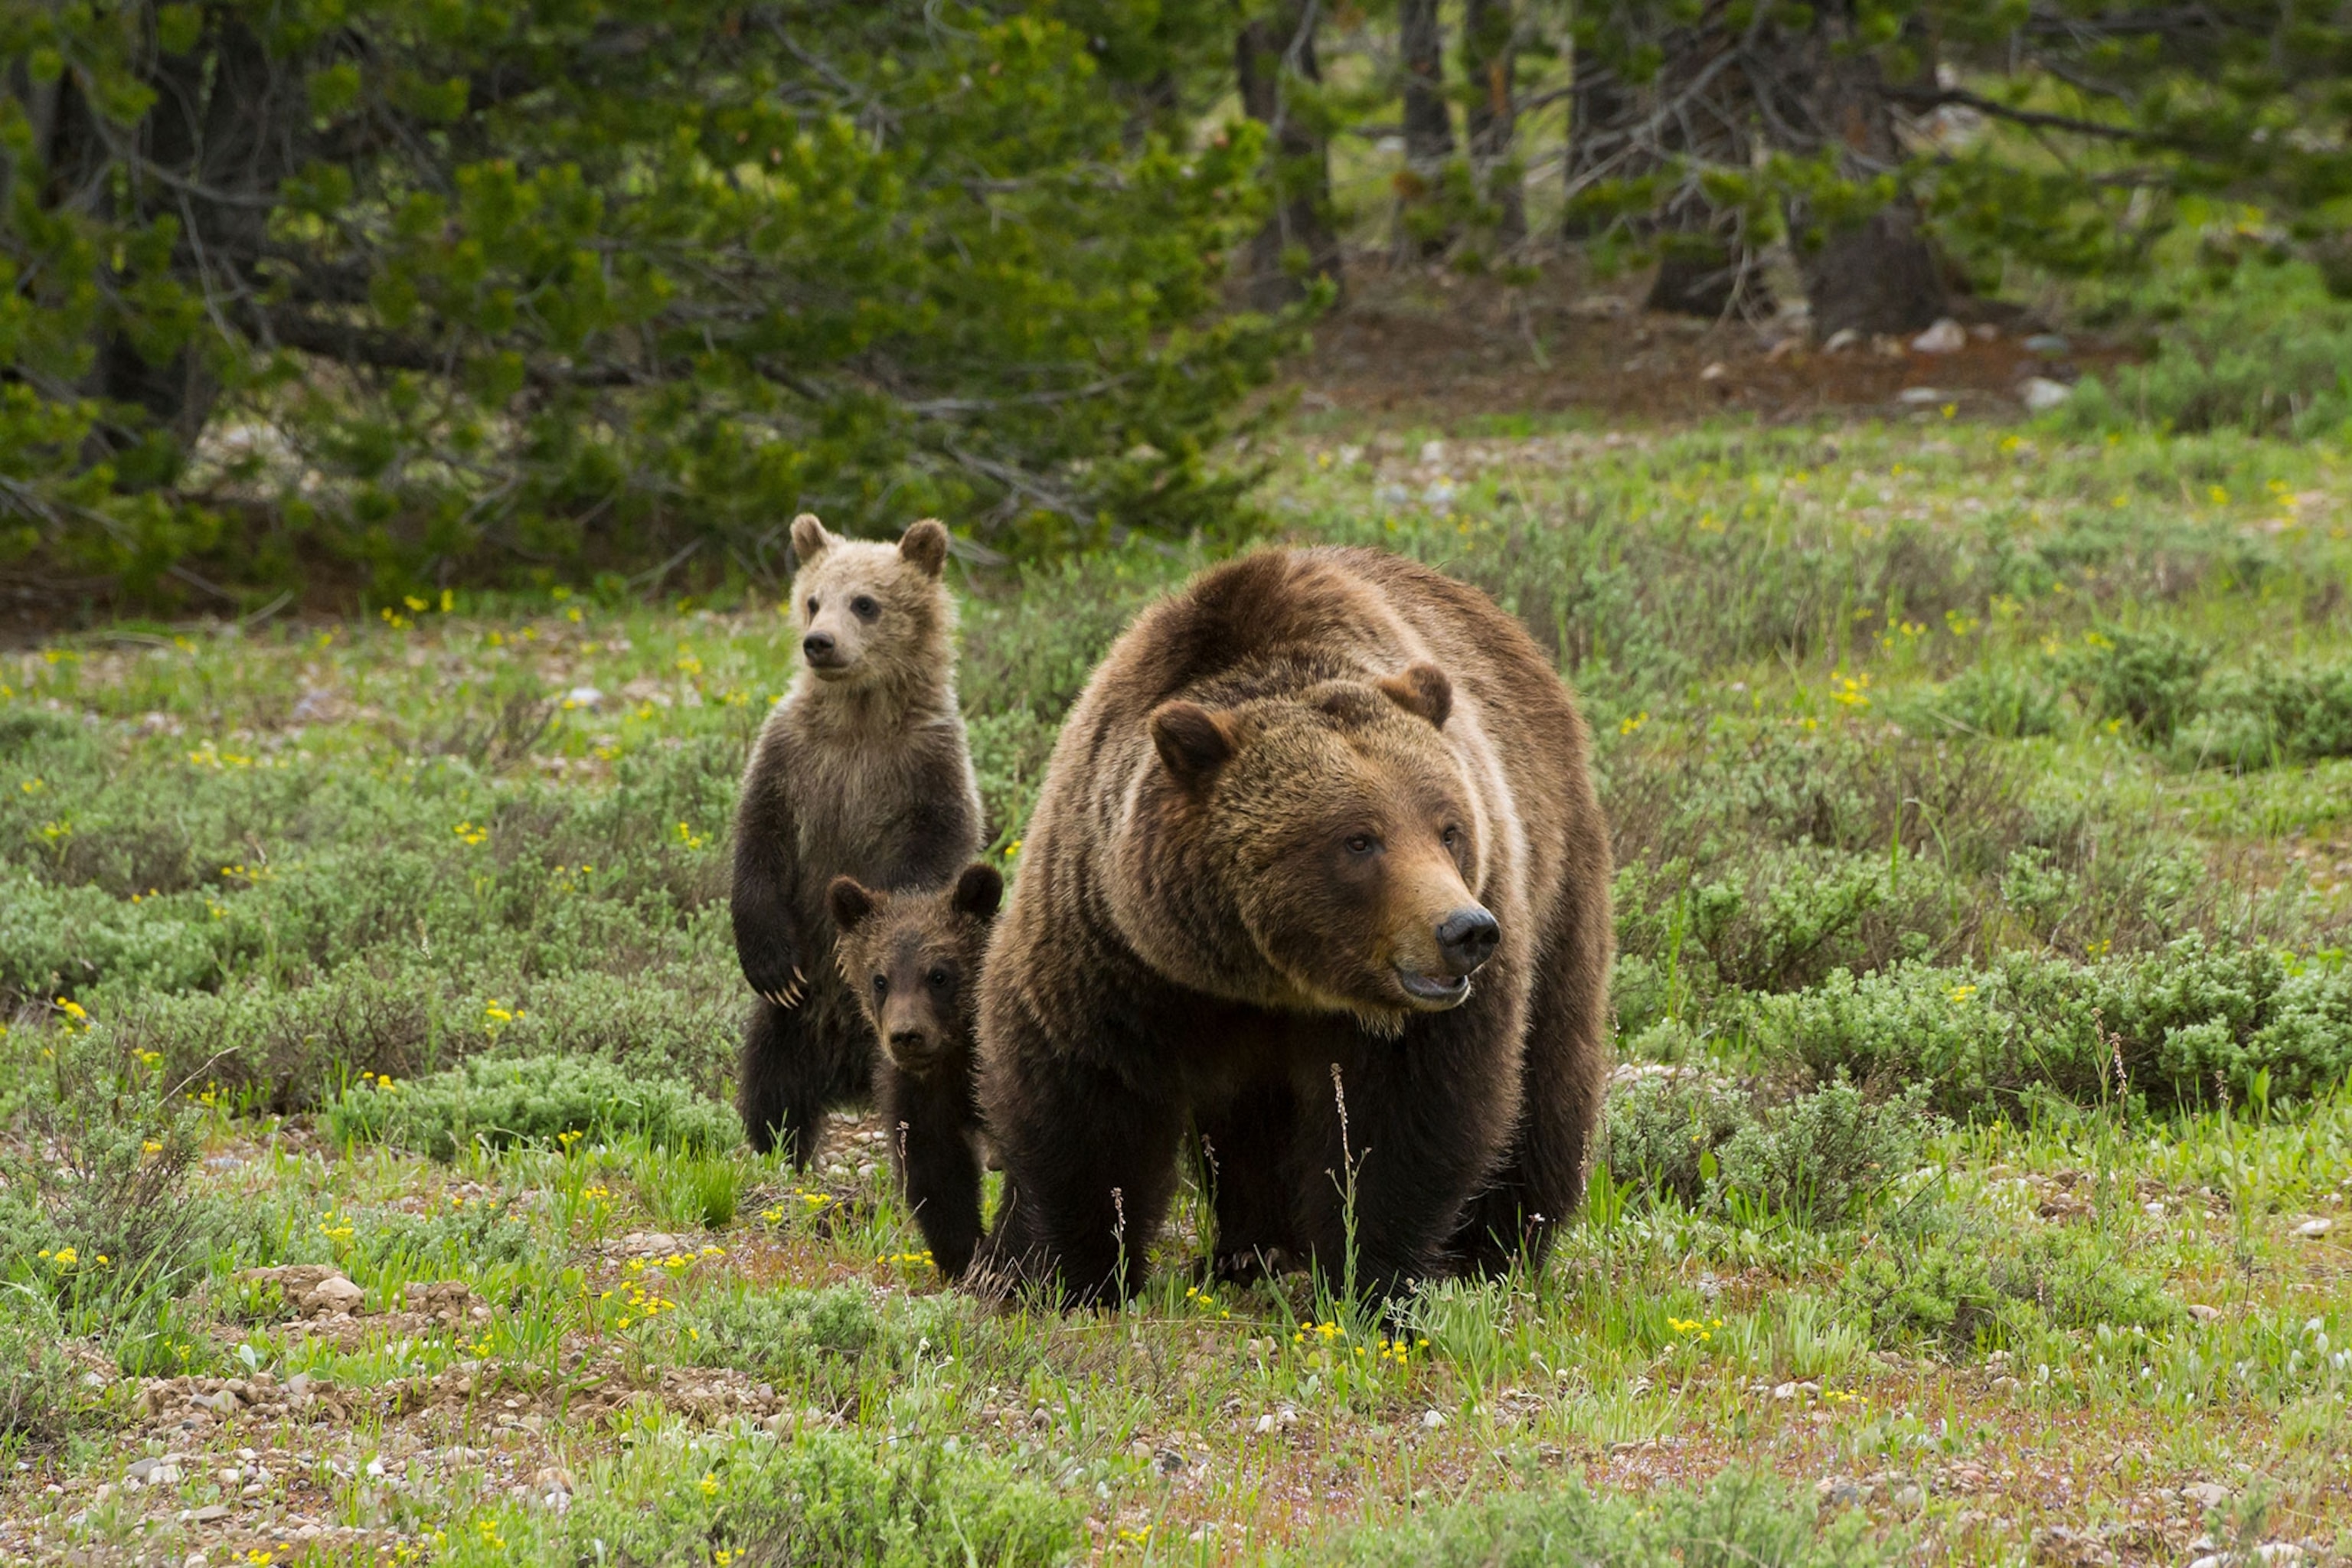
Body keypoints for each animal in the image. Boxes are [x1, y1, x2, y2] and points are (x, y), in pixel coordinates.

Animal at [731, 513, 984, 1168]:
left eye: (865, 603)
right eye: (813, 599)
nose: (818, 642)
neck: (860, 719)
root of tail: (845, 1077)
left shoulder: (929, 762)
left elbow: (938, 840)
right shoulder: (792, 756)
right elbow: (759, 839)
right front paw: (769, 961)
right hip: (793, 1021)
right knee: (771, 1075)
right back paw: (780, 1149)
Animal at [827, 861, 1004, 1280]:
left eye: (939, 974)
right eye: (880, 979)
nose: (907, 1035)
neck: (957, 1059)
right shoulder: (918, 1093)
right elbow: (936, 1172)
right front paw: (963, 1256)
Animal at [971, 545, 1611, 1308]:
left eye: (1449, 828)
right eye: (1360, 840)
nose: (1465, 931)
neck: (1270, 977)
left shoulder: (1418, 1017)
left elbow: (1403, 1122)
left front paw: (1374, 1279)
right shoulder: (1117, 947)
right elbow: (1084, 1099)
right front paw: (1062, 1275)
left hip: (1556, 880)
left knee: (1547, 1074)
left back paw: (1497, 1246)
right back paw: (1250, 1252)